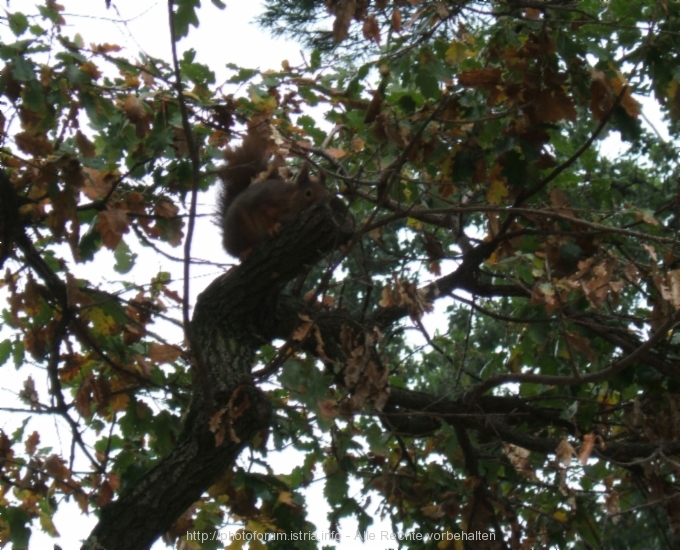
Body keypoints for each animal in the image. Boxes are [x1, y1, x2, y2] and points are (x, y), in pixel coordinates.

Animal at [215, 126, 326, 260]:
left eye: (327, 192)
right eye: (308, 193)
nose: (323, 201)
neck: (288, 198)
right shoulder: (264, 200)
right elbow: (263, 216)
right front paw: (272, 228)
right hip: (240, 225)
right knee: (240, 248)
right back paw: (246, 251)